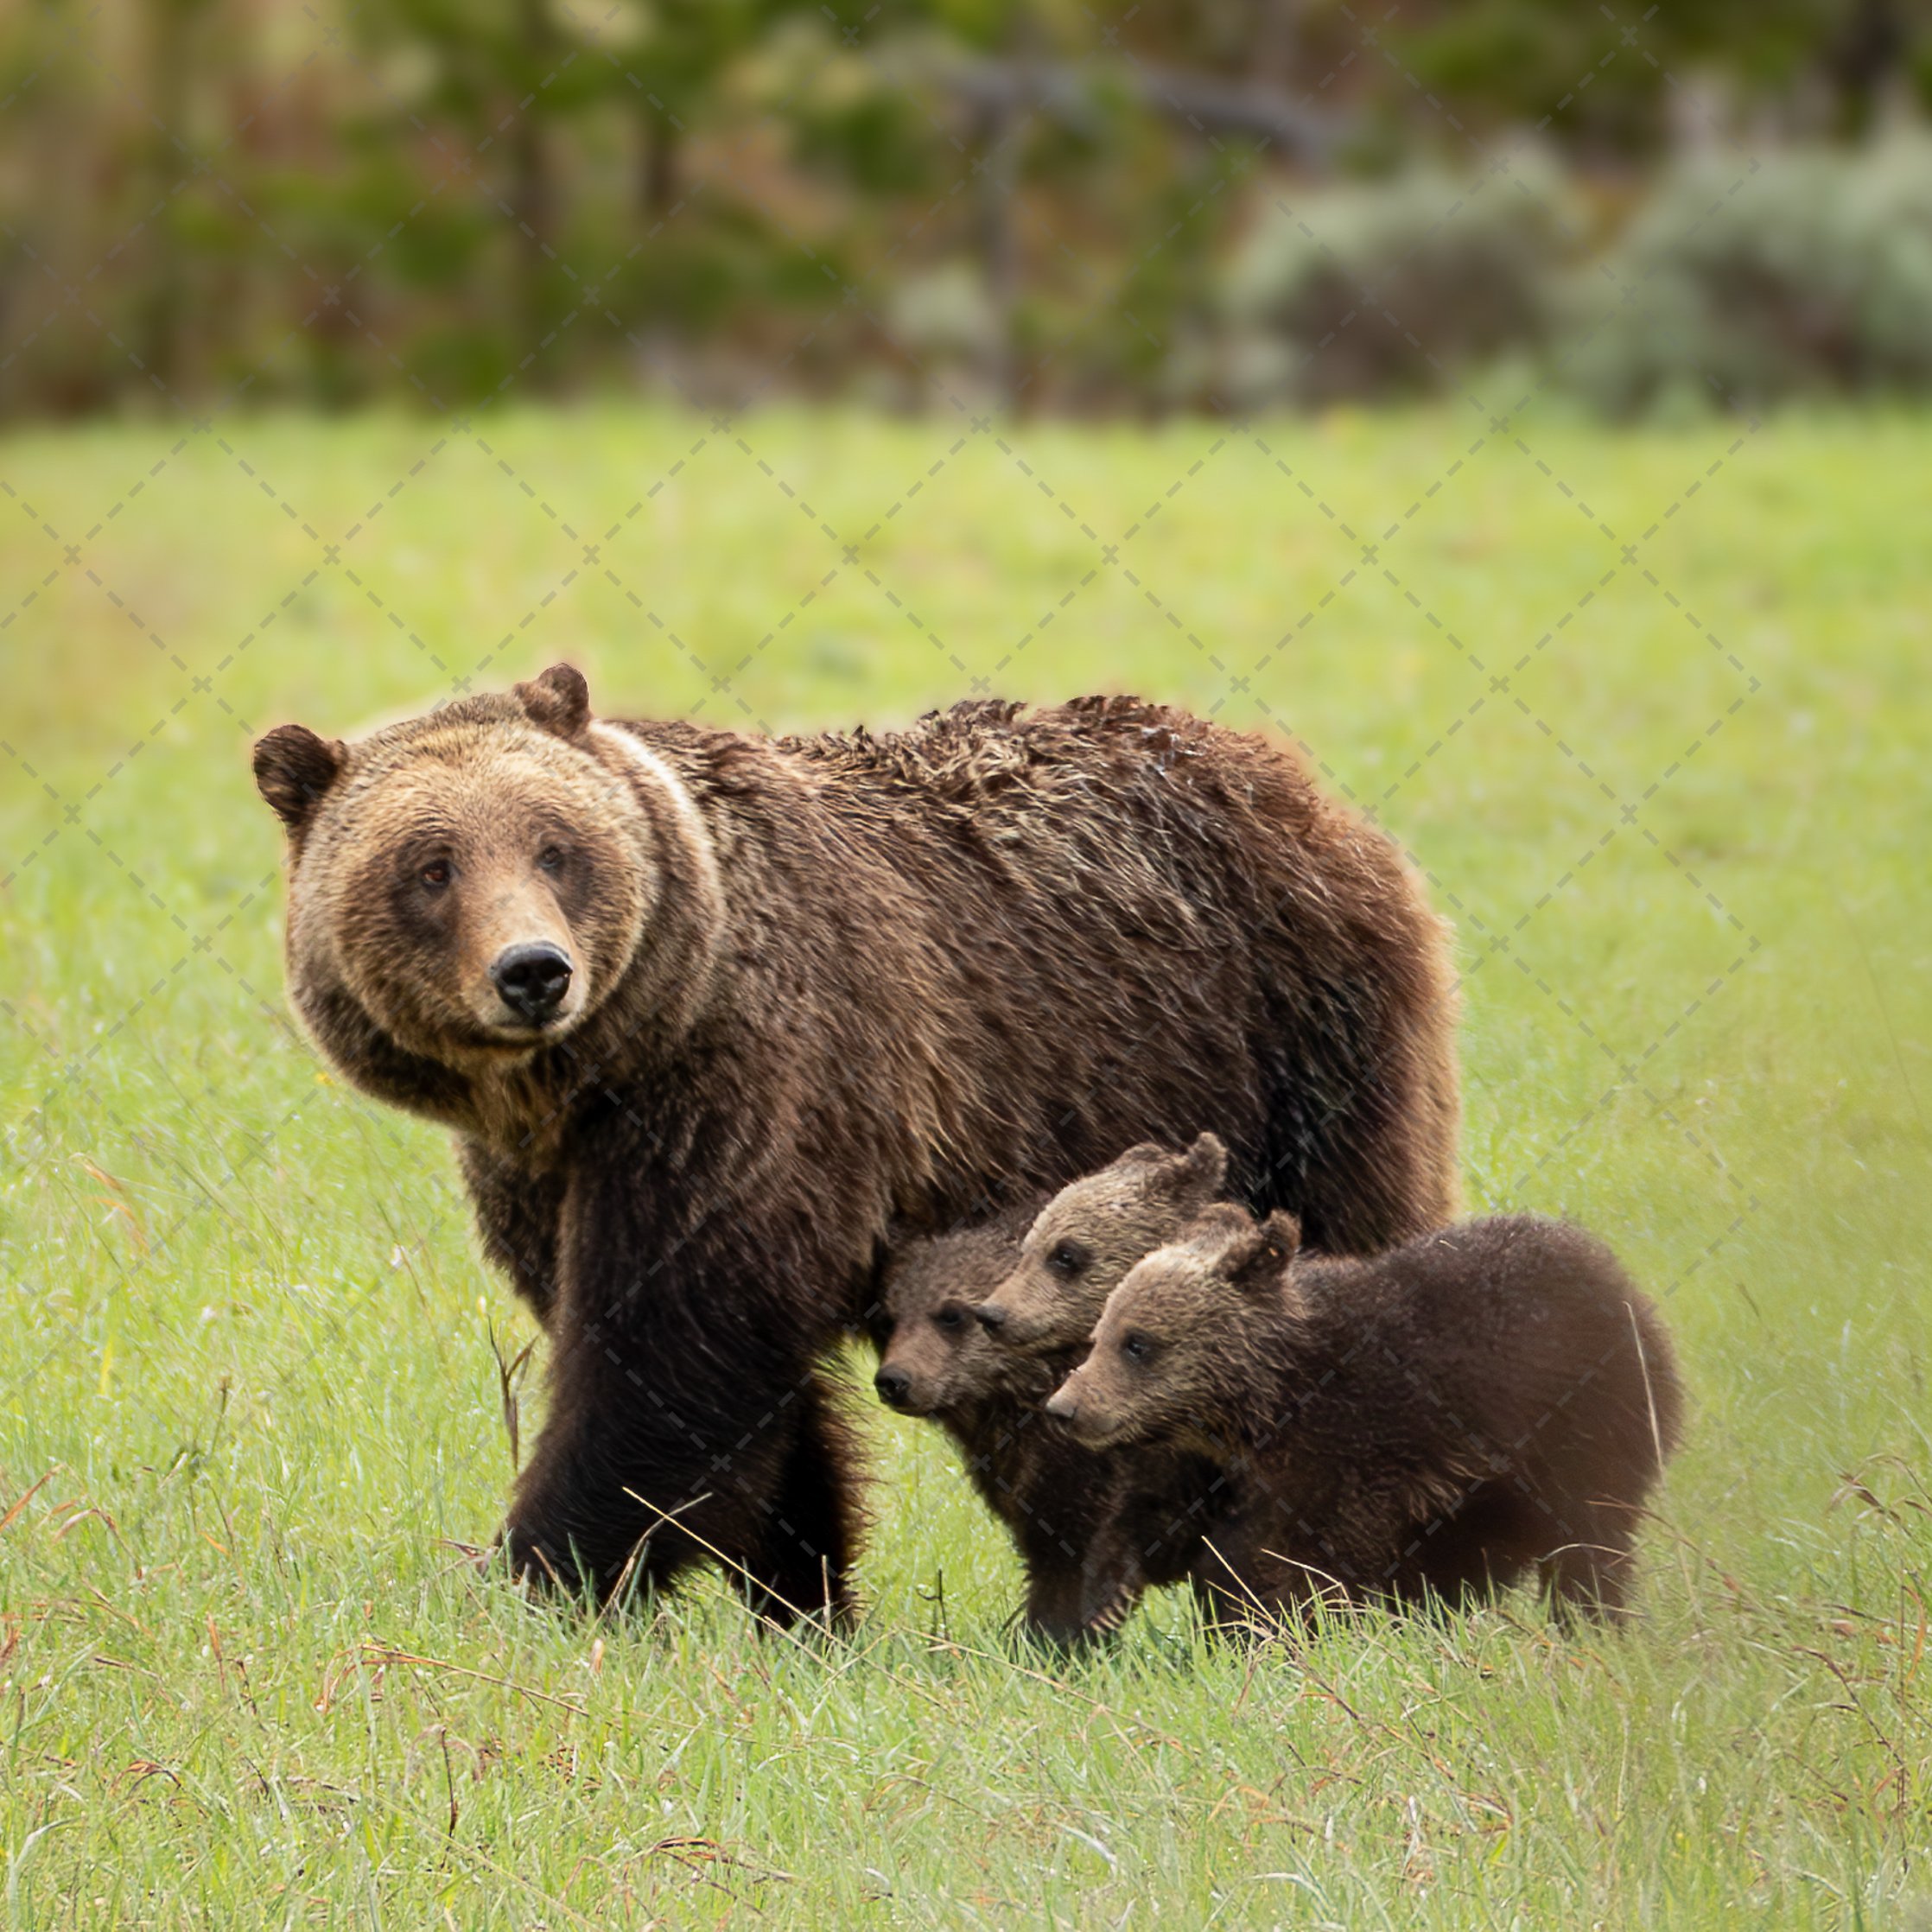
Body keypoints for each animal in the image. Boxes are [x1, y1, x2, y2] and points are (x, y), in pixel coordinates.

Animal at [872, 1197, 1222, 1643]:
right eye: (893, 1316)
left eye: (952, 1314)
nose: (893, 1380)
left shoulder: (1104, 1476)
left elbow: (1075, 1567)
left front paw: (1054, 1637)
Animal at [1045, 1206, 1684, 1631]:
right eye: (1100, 1335)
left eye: (1138, 1342)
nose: (1065, 1408)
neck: (1271, 1399)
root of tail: (1620, 1279)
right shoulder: (1227, 1472)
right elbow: (1172, 1529)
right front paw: (1101, 1601)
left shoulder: (1356, 1454)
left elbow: (1310, 1568)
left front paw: (1291, 1630)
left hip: (1581, 1426)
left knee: (1589, 1536)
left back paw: (1588, 1622)